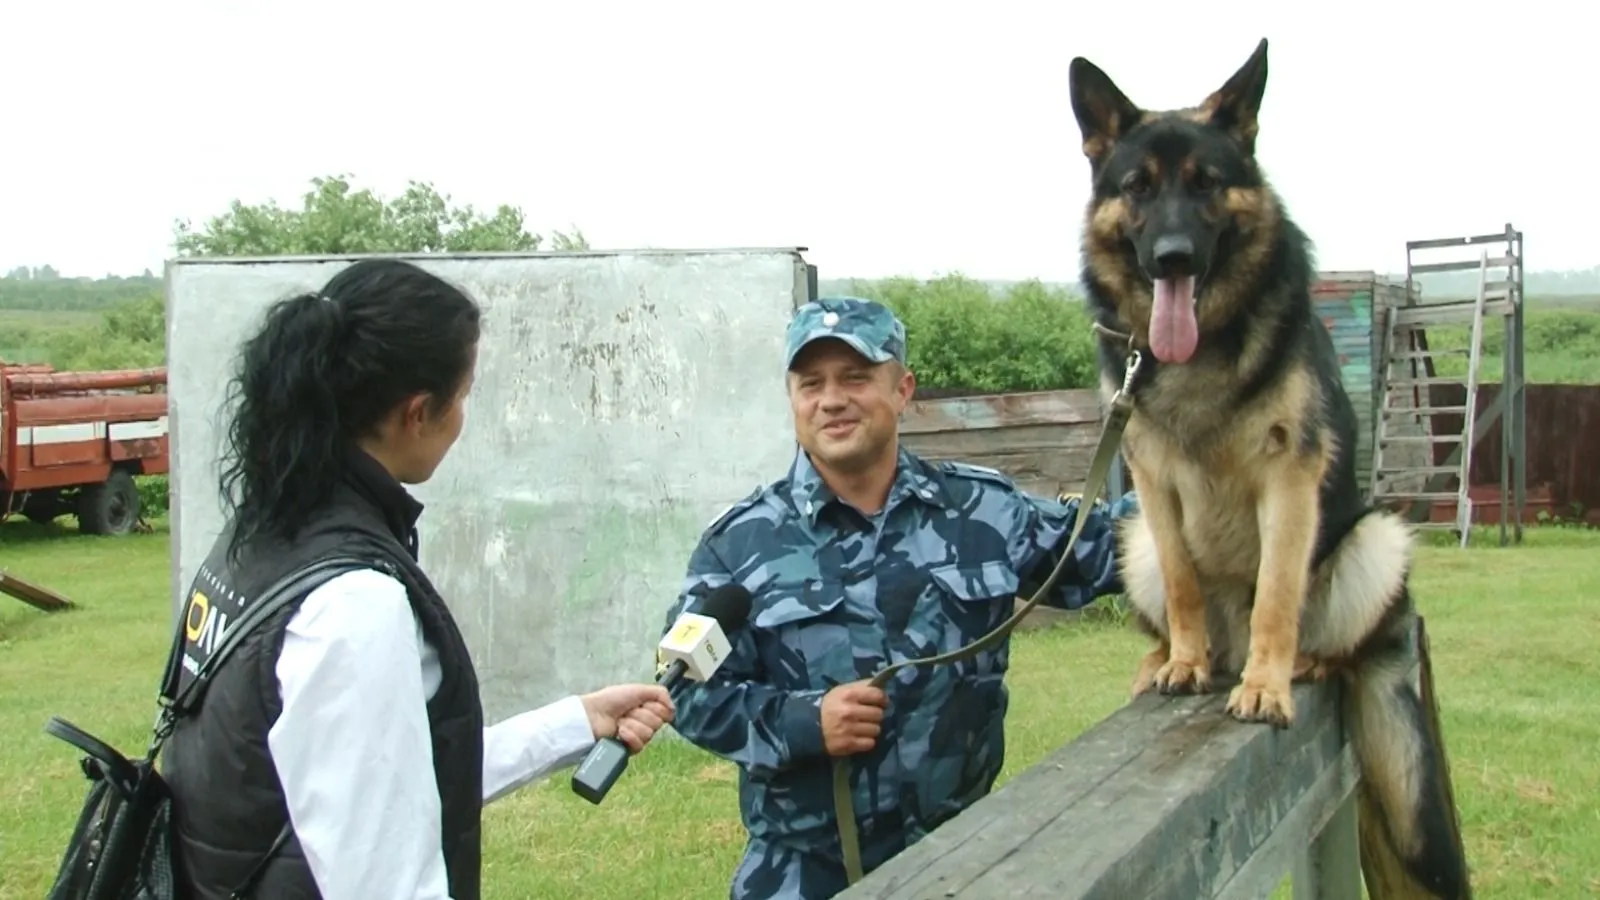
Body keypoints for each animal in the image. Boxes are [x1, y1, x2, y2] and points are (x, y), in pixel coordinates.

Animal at [1068, 38, 1465, 890]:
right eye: (1138, 188)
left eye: (1206, 184)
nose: (1173, 258)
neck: (1204, 349)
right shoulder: (1151, 484)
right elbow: (1185, 583)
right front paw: (1182, 663)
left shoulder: (1290, 478)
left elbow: (1276, 597)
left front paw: (1265, 684)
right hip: (1133, 542)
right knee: (1181, 605)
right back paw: (1169, 658)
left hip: (1378, 542)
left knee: (1329, 637)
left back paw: (1301, 664)